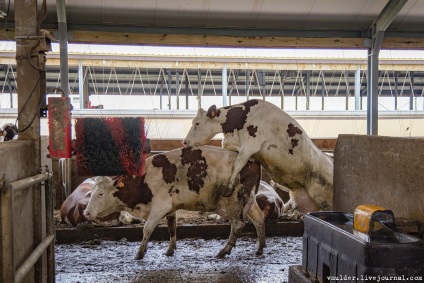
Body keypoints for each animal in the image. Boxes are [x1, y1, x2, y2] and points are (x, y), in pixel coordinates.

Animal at [83, 145, 264, 260]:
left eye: (100, 194)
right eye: (91, 193)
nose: (86, 212)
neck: (144, 180)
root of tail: (252, 162)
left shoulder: (159, 207)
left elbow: (147, 228)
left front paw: (140, 253)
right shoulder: (170, 208)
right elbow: (172, 228)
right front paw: (170, 250)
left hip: (236, 201)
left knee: (237, 225)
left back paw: (223, 251)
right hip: (249, 202)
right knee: (259, 219)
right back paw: (260, 248)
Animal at [184, 100, 332, 215]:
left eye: (197, 123)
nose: (185, 142)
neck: (241, 118)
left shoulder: (250, 146)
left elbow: (237, 165)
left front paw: (228, 188)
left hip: (322, 197)